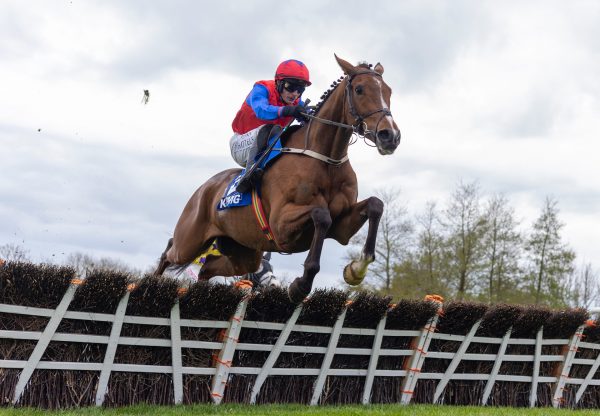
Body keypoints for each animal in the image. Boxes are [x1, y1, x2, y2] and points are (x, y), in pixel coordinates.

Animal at [154, 55, 404, 302]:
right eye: (360, 89)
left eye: (389, 91)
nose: (390, 136)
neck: (325, 159)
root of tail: (203, 189)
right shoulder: (281, 225)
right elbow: (321, 215)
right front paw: (300, 285)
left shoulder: (342, 226)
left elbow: (375, 205)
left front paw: (356, 270)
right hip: (190, 240)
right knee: (168, 251)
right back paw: (153, 282)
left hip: (243, 253)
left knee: (207, 269)